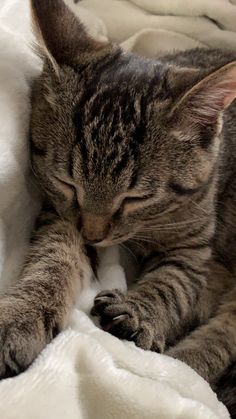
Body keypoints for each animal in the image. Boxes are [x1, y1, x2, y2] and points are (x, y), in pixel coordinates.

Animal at [1, 0, 236, 414]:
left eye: (135, 197)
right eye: (68, 182)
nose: (93, 235)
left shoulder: (192, 248)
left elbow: (173, 283)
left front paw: (139, 314)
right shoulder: (59, 210)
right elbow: (53, 256)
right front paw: (22, 314)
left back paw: (182, 362)